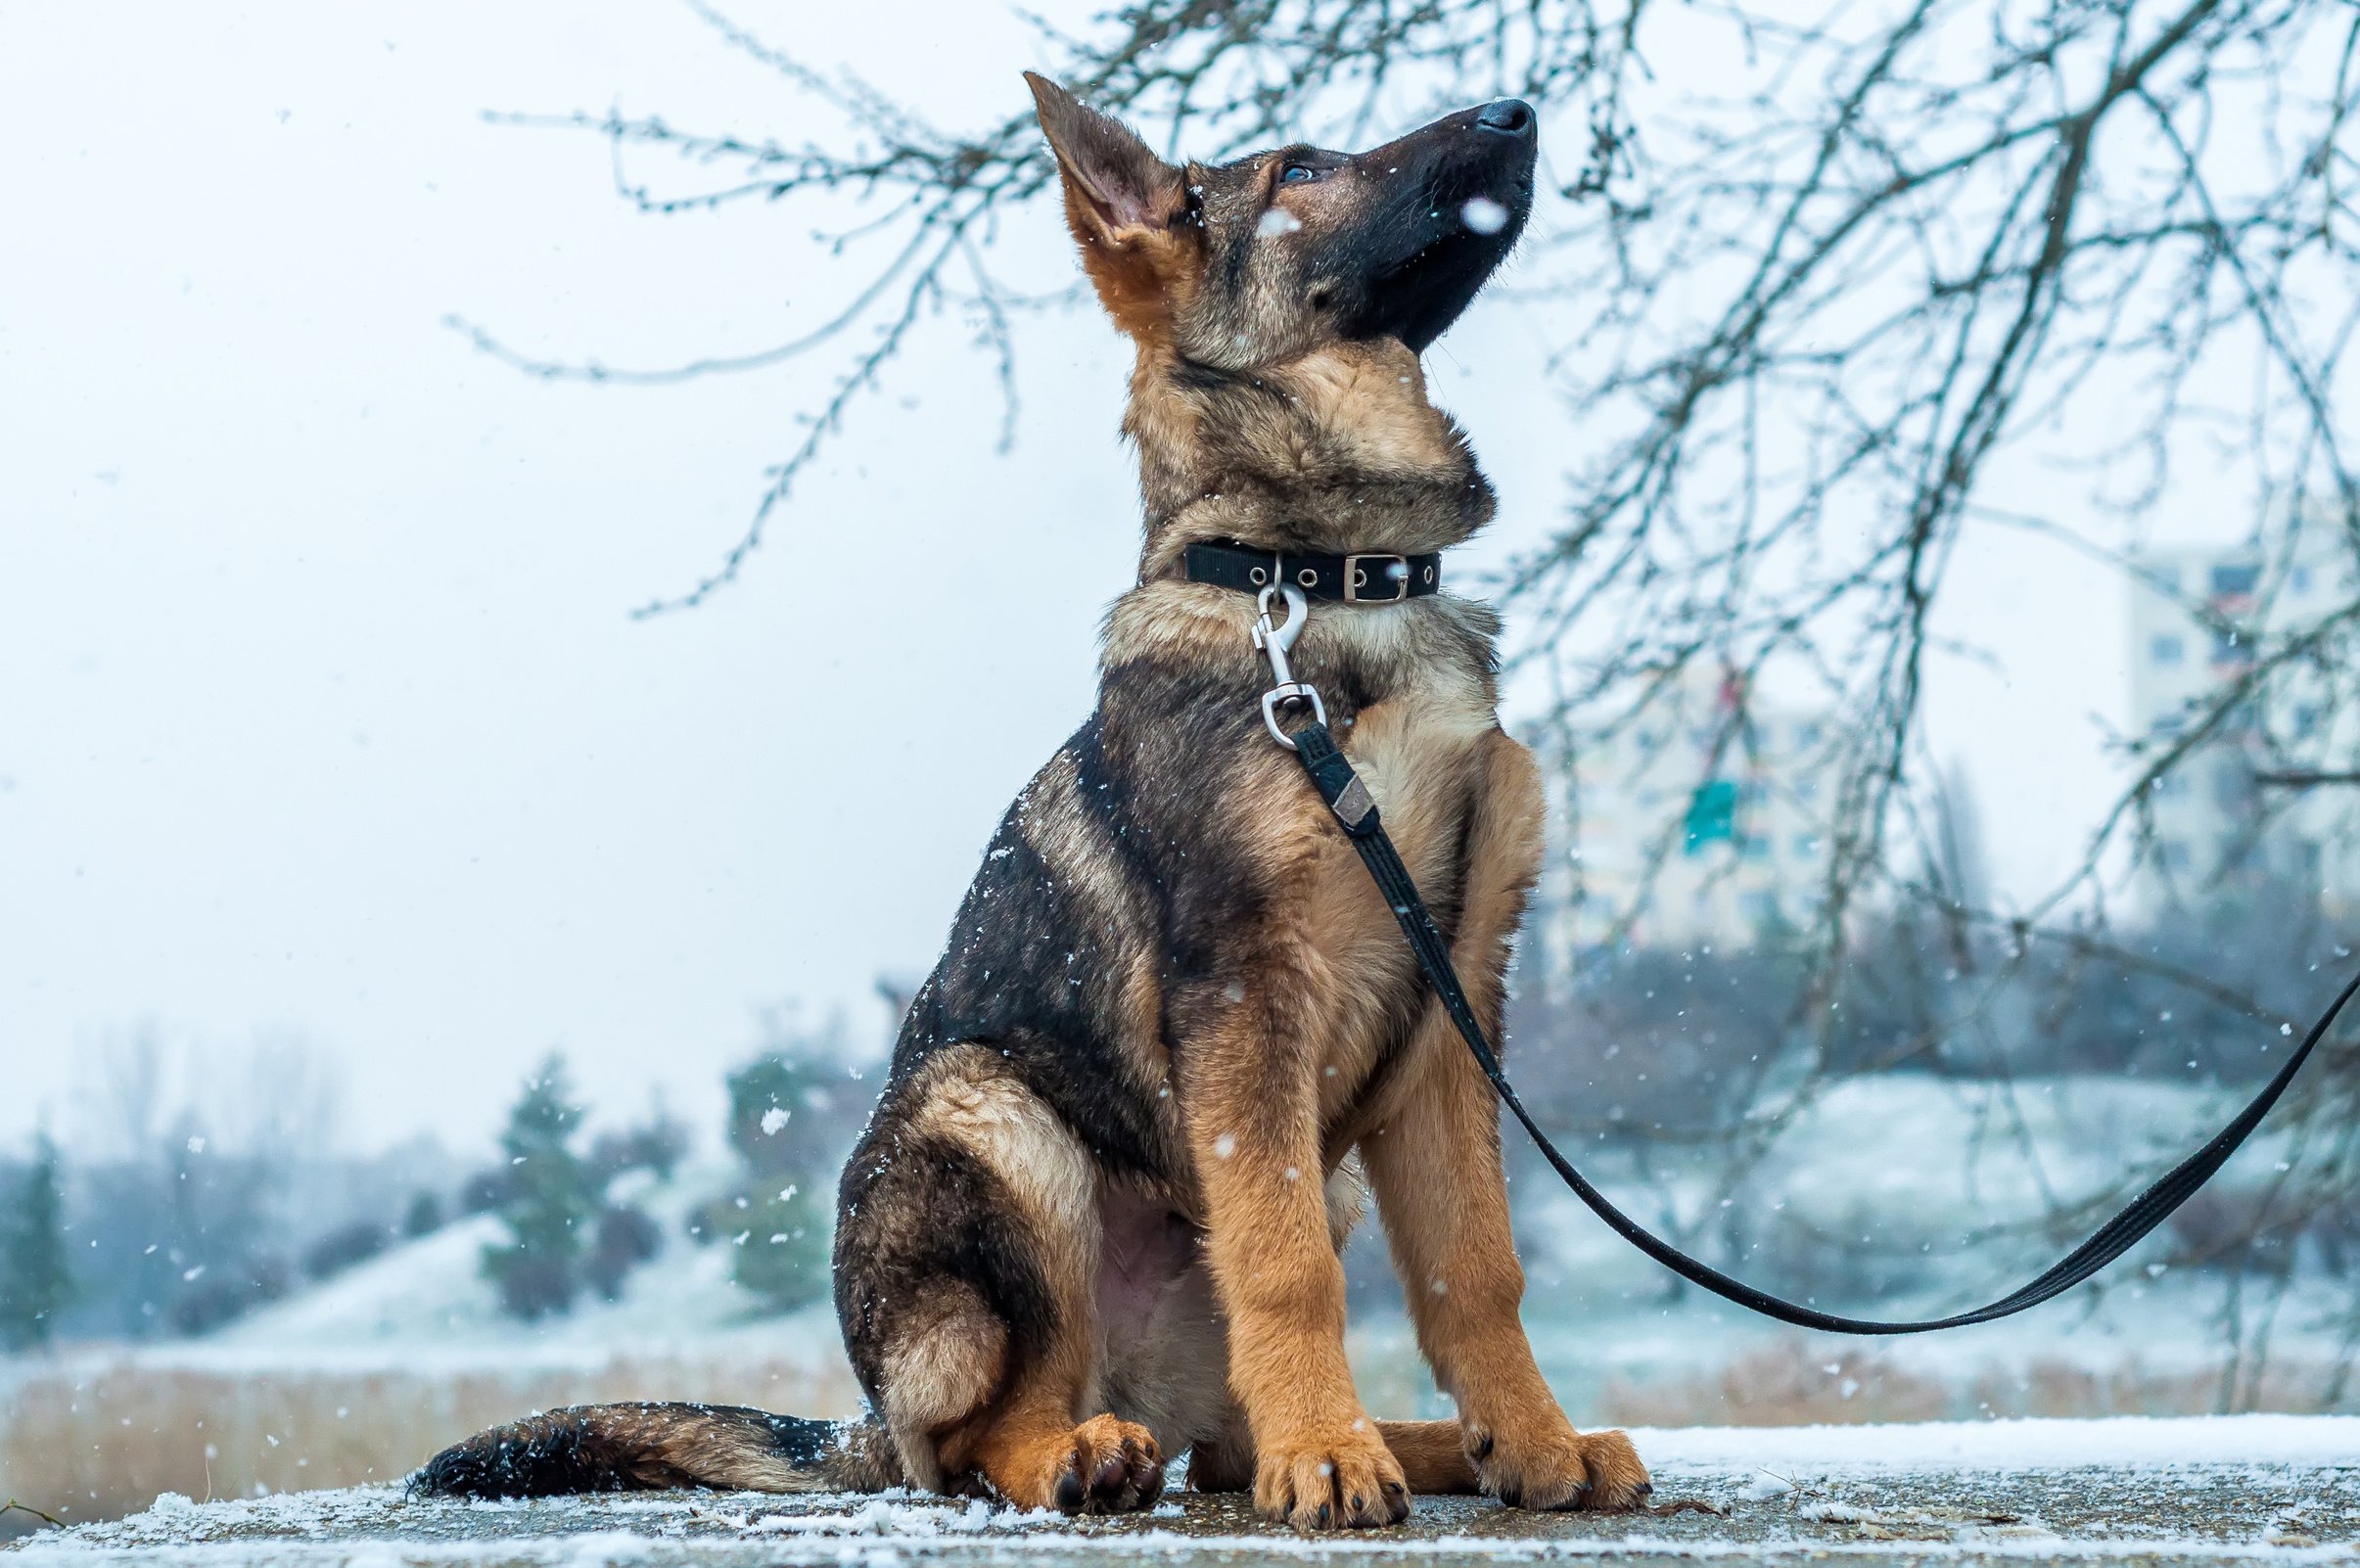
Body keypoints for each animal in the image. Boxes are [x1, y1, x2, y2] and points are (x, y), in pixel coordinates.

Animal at [415, 73, 1651, 1530]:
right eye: (1297, 169)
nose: (1517, 110)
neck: (1320, 582)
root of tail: (864, 1421)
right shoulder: (1248, 992)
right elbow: (1285, 1260)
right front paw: (1332, 1458)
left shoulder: (1455, 999)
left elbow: (1477, 1266)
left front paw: (1530, 1440)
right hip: (990, 1119)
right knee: (983, 1435)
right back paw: (1108, 1449)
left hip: (1305, 1170)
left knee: (1216, 1443)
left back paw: (1403, 1438)